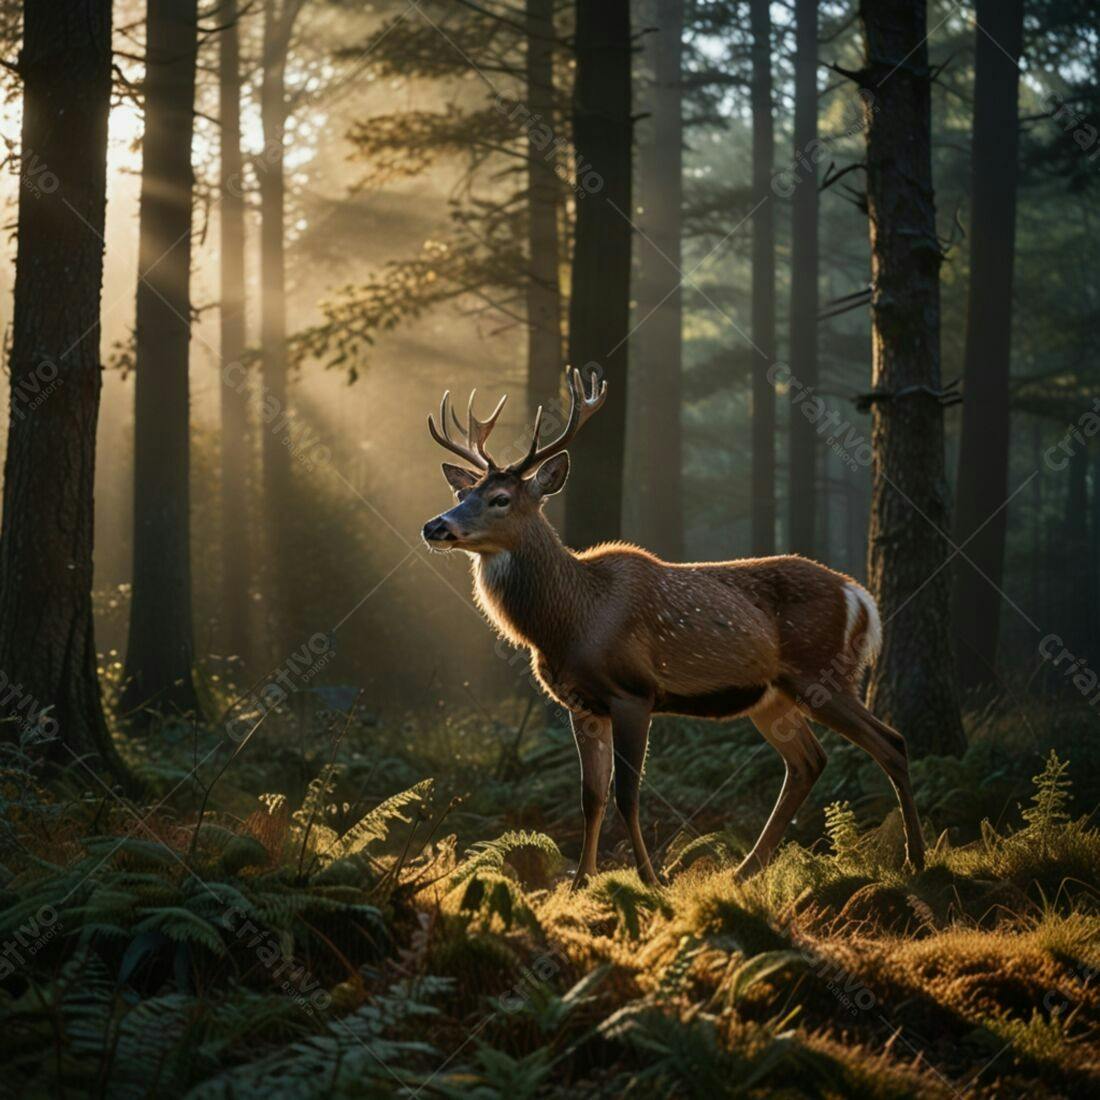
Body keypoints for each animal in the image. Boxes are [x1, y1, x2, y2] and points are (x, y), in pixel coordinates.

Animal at [421, 367, 925, 889]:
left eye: (500, 498)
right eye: (462, 493)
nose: (434, 526)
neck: (571, 621)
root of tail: (860, 597)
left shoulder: (633, 692)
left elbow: (626, 793)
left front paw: (649, 878)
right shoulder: (581, 706)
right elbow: (590, 797)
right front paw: (580, 883)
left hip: (821, 673)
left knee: (891, 742)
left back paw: (915, 858)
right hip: (773, 696)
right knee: (809, 761)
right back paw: (744, 871)